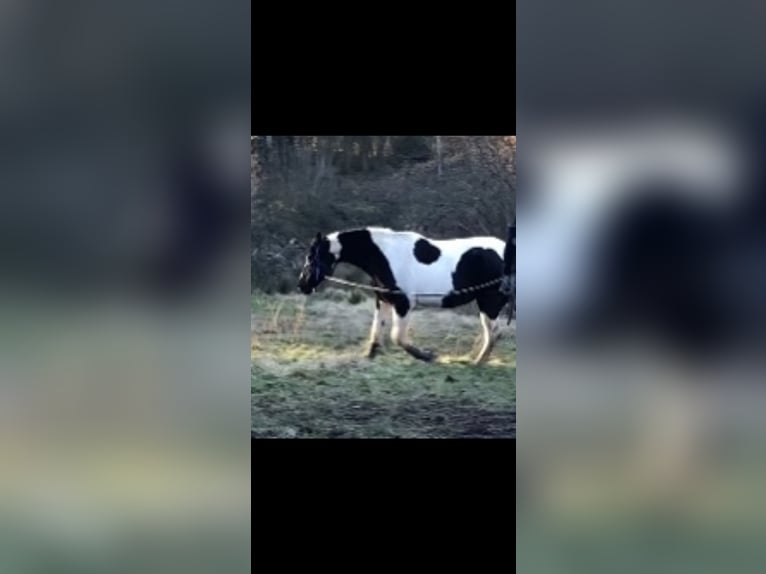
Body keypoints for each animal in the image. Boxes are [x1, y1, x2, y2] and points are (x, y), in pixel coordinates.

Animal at [298, 226, 510, 364]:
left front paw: (427, 355)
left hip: (489, 302)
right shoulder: (383, 300)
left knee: (494, 332)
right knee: (491, 332)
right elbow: (377, 329)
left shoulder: (404, 303)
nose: (302, 285)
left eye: (311, 257)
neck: (385, 256)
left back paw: (478, 362)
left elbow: (397, 337)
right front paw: (370, 354)